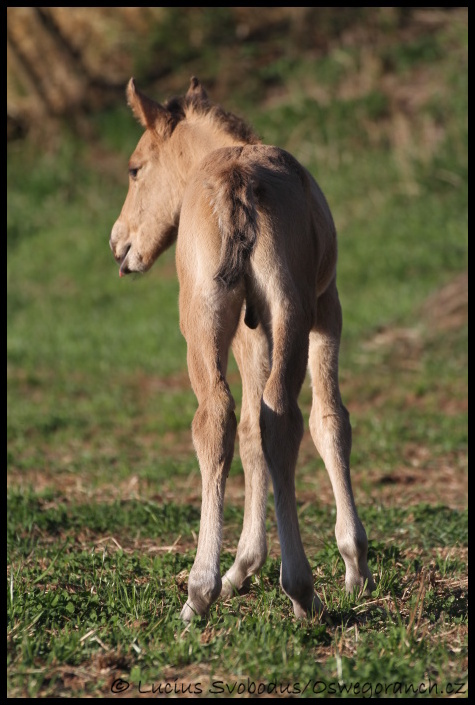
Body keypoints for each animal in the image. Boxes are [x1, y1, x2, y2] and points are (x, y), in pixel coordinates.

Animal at [110, 74, 376, 620]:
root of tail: (235, 180)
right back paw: (298, 589)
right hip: (290, 313)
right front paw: (354, 565)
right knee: (280, 418)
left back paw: (199, 592)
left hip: (204, 317)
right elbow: (328, 420)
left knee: (219, 417)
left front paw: (241, 568)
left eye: (134, 169)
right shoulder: (325, 307)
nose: (117, 243)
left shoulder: (252, 329)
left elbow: (255, 430)